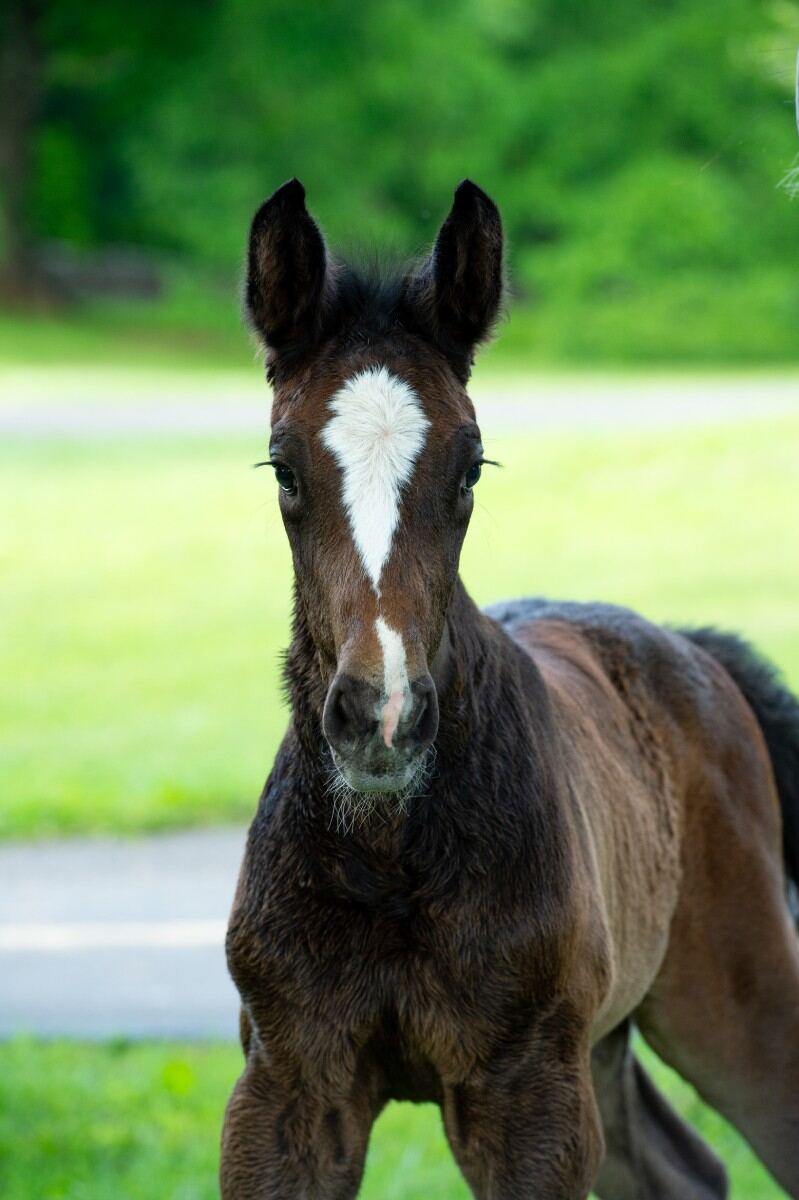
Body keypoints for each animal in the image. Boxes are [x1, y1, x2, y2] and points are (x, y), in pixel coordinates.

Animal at [220, 177, 796, 1200]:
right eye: (283, 468)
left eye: (470, 467)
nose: (381, 718)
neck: (389, 860)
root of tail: (691, 651)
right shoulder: (284, 1088)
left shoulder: (526, 1097)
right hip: (602, 1045)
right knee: (683, 1168)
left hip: (733, 998)